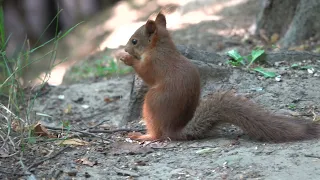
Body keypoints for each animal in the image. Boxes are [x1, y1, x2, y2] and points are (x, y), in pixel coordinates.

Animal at [118, 12, 320, 142]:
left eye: (134, 41)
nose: (126, 48)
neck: (160, 47)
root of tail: (173, 130)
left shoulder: (154, 64)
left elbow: (145, 73)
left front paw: (126, 58)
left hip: (151, 104)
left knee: (158, 136)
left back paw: (142, 135)